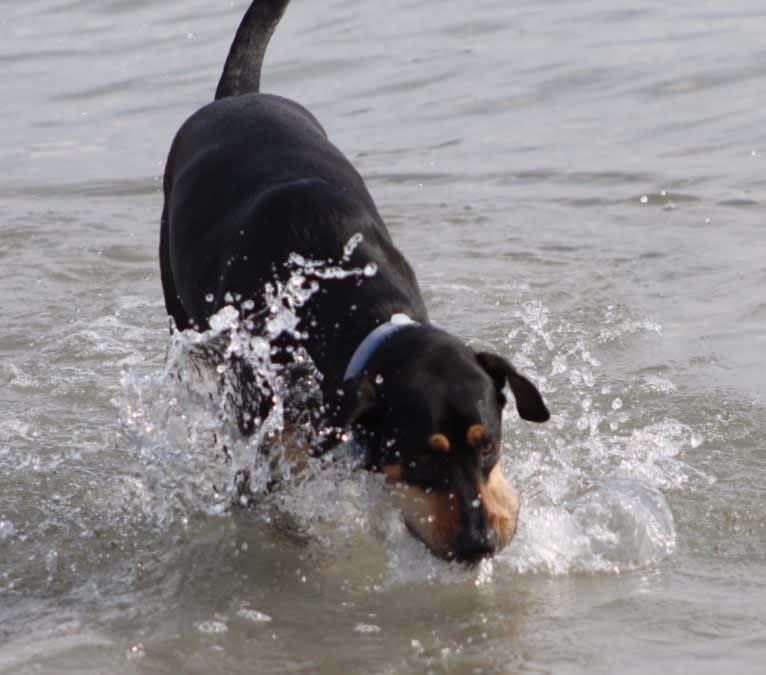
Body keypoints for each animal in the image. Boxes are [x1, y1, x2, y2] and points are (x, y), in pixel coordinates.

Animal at [160, 0, 552, 564]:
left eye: (489, 445)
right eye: (420, 459)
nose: (479, 543)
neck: (342, 306)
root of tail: (237, 97)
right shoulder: (264, 429)